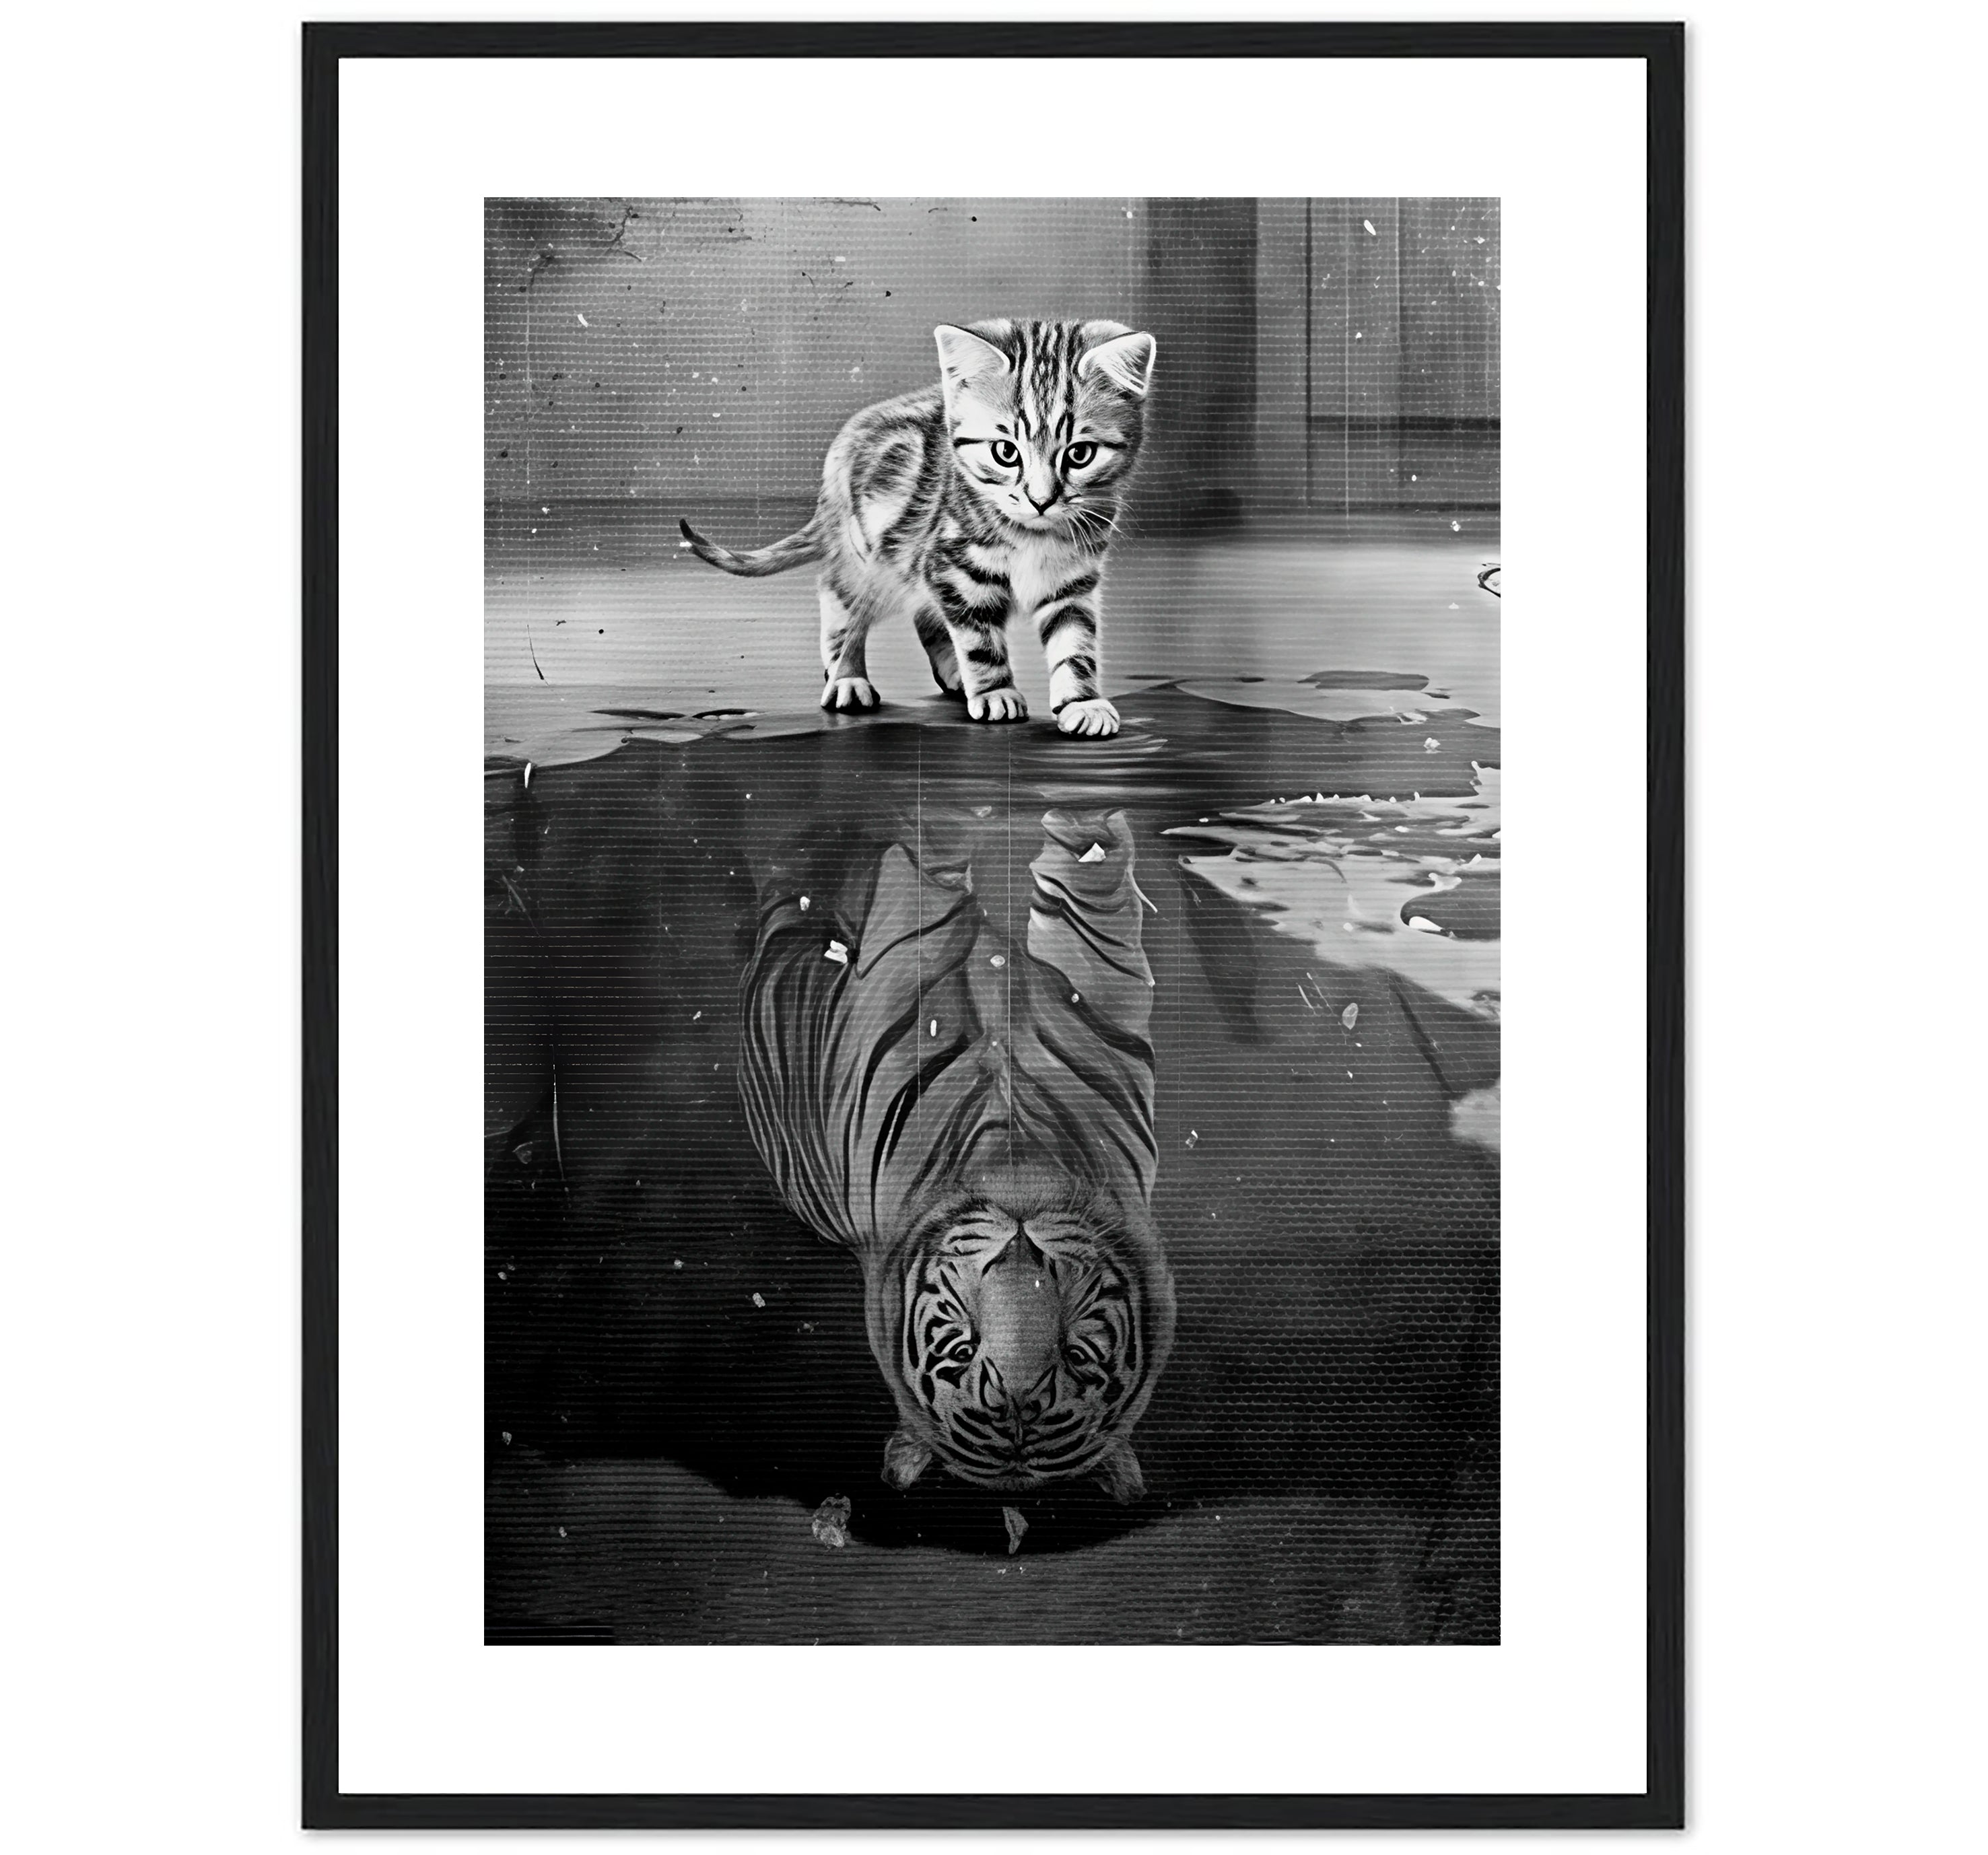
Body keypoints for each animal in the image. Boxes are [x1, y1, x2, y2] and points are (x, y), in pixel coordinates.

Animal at [680, 318, 1157, 739]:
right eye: (1006, 452)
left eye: (1079, 454)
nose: (1042, 501)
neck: (1033, 535)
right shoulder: (951, 563)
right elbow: (979, 638)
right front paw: (996, 690)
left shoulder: (1071, 581)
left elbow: (1074, 644)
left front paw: (1082, 702)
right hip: (871, 557)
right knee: (839, 599)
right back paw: (846, 677)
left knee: (925, 614)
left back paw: (952, 673)